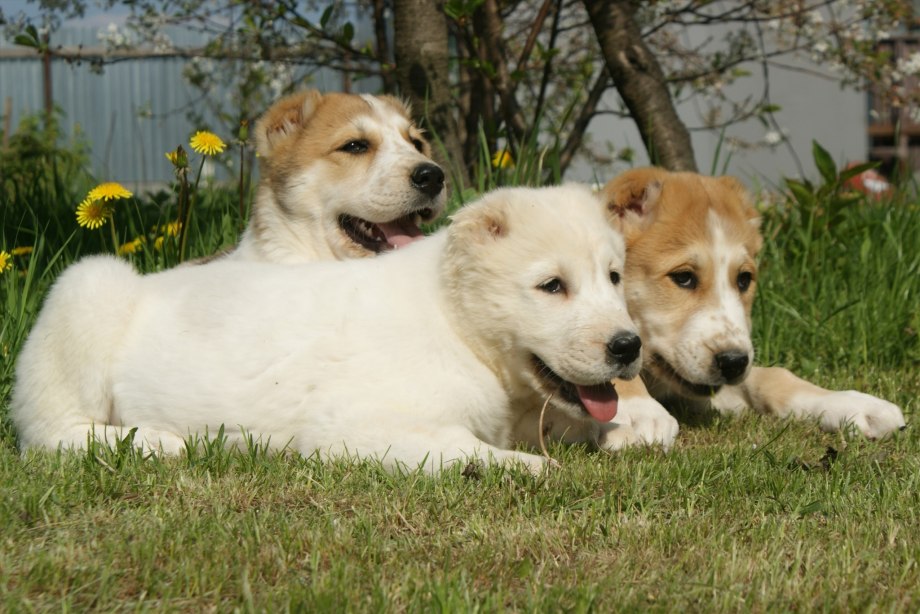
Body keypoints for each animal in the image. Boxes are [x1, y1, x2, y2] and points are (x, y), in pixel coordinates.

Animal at [9, 185, 640, 474]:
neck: (455, 322)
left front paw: (623, 431)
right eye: (552, 286)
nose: (628, 346)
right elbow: (469, 450)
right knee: (47, 432)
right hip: (88, 288)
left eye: (614, 277)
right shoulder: (357, 429)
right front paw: (535, 467)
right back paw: (161, 441)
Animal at [600, 167, 908, 448]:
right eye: (683, 277)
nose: (734, 362)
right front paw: (634, 413)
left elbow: (772, 375)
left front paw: (849, 403)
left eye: (744, 279)